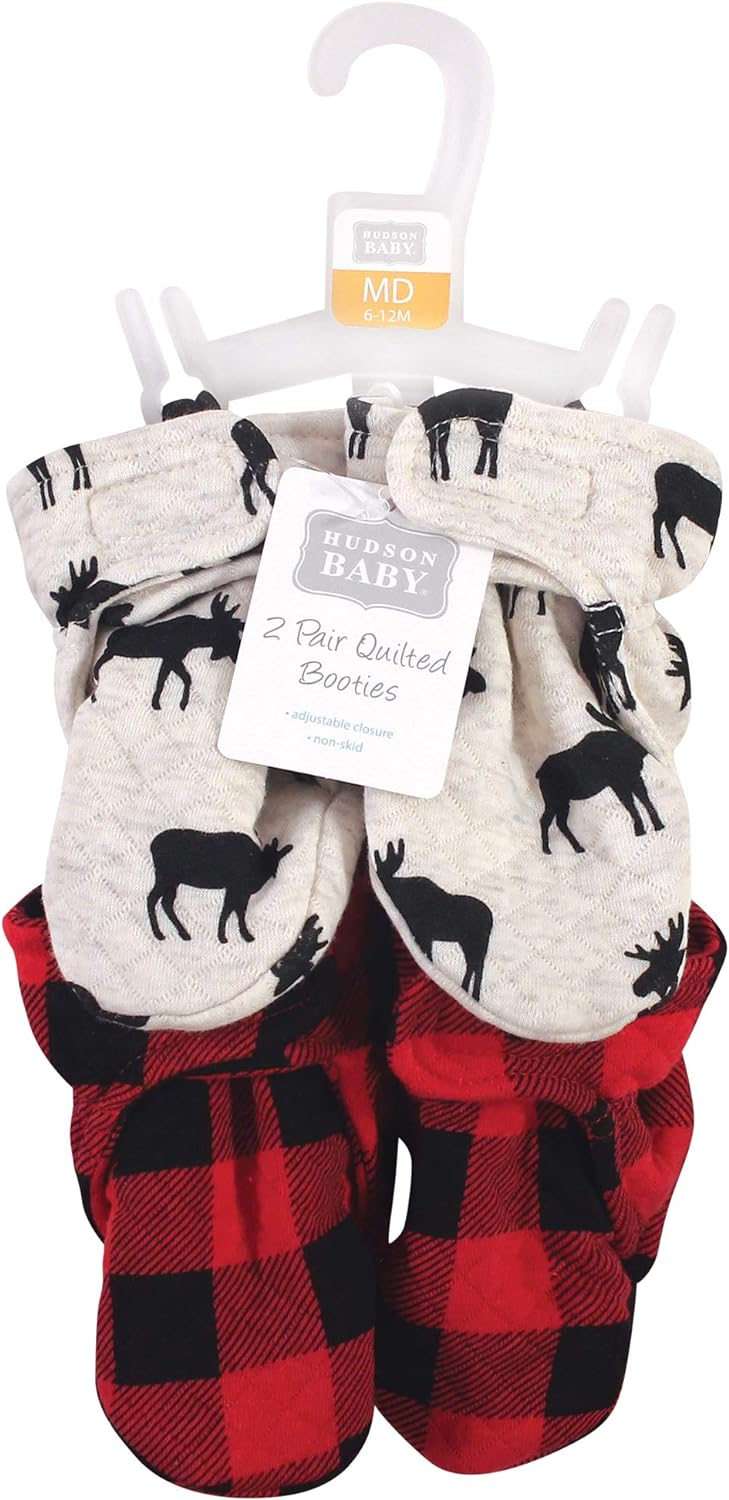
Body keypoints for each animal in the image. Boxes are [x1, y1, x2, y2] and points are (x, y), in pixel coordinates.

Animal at [92, 593, 244, 710]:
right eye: (227, 631)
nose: (236, 654)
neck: (194, 636)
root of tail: (110, 637)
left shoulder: (172, 658)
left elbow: (176, 679)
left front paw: (172, 703)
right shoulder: (171, 656)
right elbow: (172, 680)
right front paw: (168, 704)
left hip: (112, 652)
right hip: (110, 652)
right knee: (98, 665)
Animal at [147, 829, 293, 944]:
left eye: (277, 858)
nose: (274, 873)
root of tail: (152, 845)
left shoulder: (234, 889)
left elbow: (230, 910)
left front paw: (224, 936)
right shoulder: (238, 889)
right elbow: (235, 911)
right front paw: (240, 936)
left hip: (172, 880)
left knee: (166, 903)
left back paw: (183, 934)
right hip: (166, 877)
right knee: (152, 899)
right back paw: (158, 933)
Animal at [373, 839, 493, 1003]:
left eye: (382, 875)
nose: (376, 877)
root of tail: (491, 918)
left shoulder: (422, 933)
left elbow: (427, 956)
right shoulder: (424, 935)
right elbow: (427, 956)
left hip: (475, 942)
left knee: (477, 966)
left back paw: (473, 995)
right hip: (467, 943)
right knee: (472, 966)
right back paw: (466, 990)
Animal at [537, 704, 664, 854]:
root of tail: (539, 773)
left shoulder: (626, 780)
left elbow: (638, 800)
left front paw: (650, 826)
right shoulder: (624, 780)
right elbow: (635, 801)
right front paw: (644, 828)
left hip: (560, 801)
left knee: (556, 822)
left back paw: (572, 848)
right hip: (556, 800)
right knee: (549, 821)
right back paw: (552, 849)